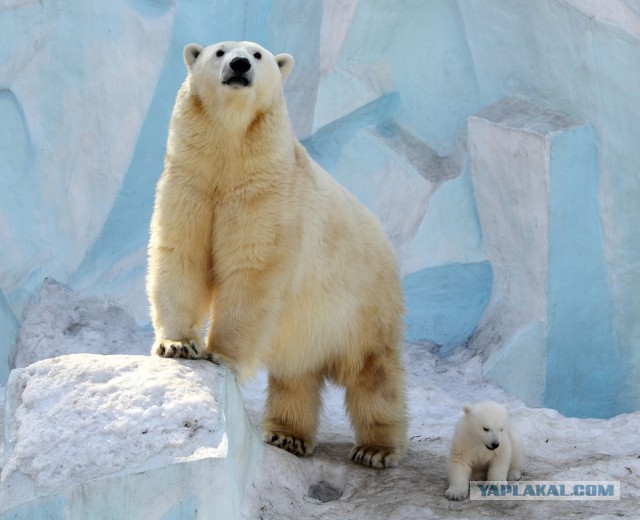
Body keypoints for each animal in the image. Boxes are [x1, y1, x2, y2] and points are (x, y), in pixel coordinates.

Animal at [148, 42, 408, 470]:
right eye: (219, 51)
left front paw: (219, 354)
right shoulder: (191, 183)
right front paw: (178, 345)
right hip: (308, 327)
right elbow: (181, 252)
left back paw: (376, 449)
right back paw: (288, 436)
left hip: (363, 302)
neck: (230, 159)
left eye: (257, 54)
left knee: (372, 371)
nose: (239, 64)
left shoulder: (267, 194)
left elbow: (251, 270)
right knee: (296, 372)